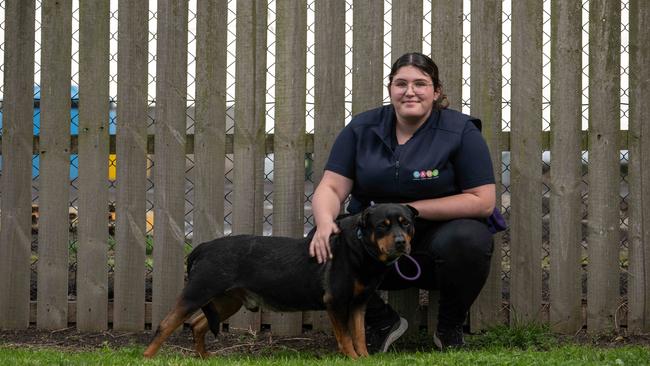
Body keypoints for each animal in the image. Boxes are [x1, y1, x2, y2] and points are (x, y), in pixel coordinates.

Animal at [142, 202, 416, 358]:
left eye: (407, 224)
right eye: (382, 225)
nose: (401, 242)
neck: (360, 248)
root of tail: (202, 247)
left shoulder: (359, 303)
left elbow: (359, 335)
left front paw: (365, 359)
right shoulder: (336, 302)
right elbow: (346, 337)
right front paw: (353, 359)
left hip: (228, 301)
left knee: (199, 324)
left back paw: (205, 358)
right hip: (197, 292)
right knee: (166, 324)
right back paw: (147, 357)